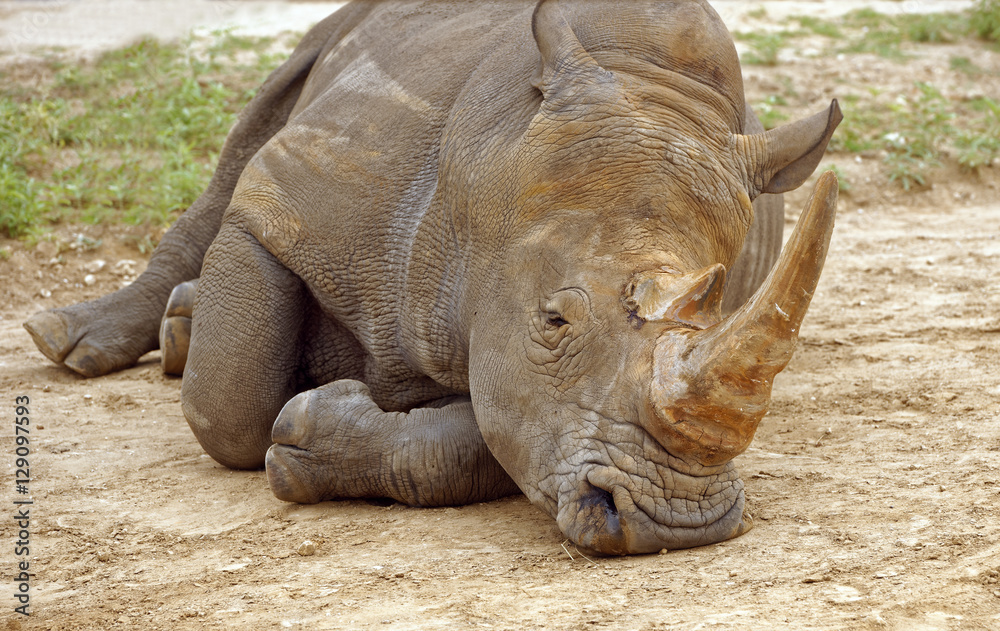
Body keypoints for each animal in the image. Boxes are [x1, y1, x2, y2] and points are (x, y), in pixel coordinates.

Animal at [24, 0, 841, 554]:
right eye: (554, 321)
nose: (677, 518)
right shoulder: (282, 199)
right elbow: (229, 406)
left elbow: (486, 433)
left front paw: (311, 434)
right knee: (244, 143)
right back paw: (76, 339)